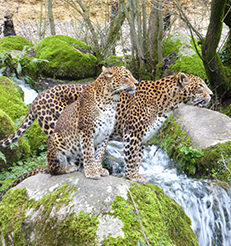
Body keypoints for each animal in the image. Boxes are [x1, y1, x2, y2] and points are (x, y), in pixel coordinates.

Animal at [0, 66, 137, 199]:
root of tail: (34, 100)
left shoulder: (105, 134)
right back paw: (68, 168)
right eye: (126, 76)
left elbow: (99, 154)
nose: (136, 83)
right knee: (53, 170)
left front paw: (98, 168)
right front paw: (91, 171)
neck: (111, 100)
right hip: (55, 136)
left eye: (130, 75)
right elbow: (89, 153)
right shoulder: (86, 131)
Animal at [0, 71, 213, 186]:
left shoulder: (144, 138)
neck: (169, 104)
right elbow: (131, 158)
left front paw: (136, 175)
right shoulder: (132, 134)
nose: (211, 94)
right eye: (200, 86)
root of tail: (37, 97)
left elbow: (138, 159)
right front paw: (131, 176)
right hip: (61, 127)